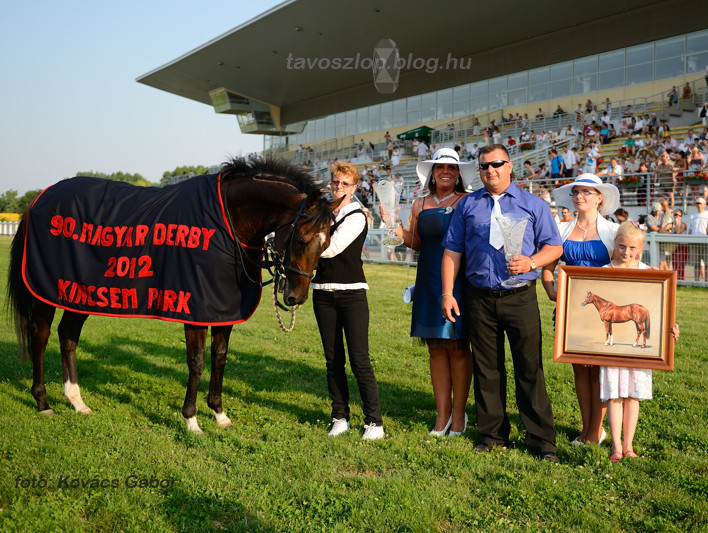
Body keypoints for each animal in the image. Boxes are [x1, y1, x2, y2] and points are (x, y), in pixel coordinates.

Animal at [6, 157, 342, 432]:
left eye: (327, 244)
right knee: (41, 336)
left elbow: (220, 358)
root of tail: (39, 198)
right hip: (47, 292)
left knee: (68, 335)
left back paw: (77, 402)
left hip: (80, 294)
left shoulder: (223, 310)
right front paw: (191, 420)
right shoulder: (193, 308)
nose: (295, 297)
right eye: (300, 239)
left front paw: (219, 414)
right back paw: (43, 402)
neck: (227, 221)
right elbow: (197, 361)